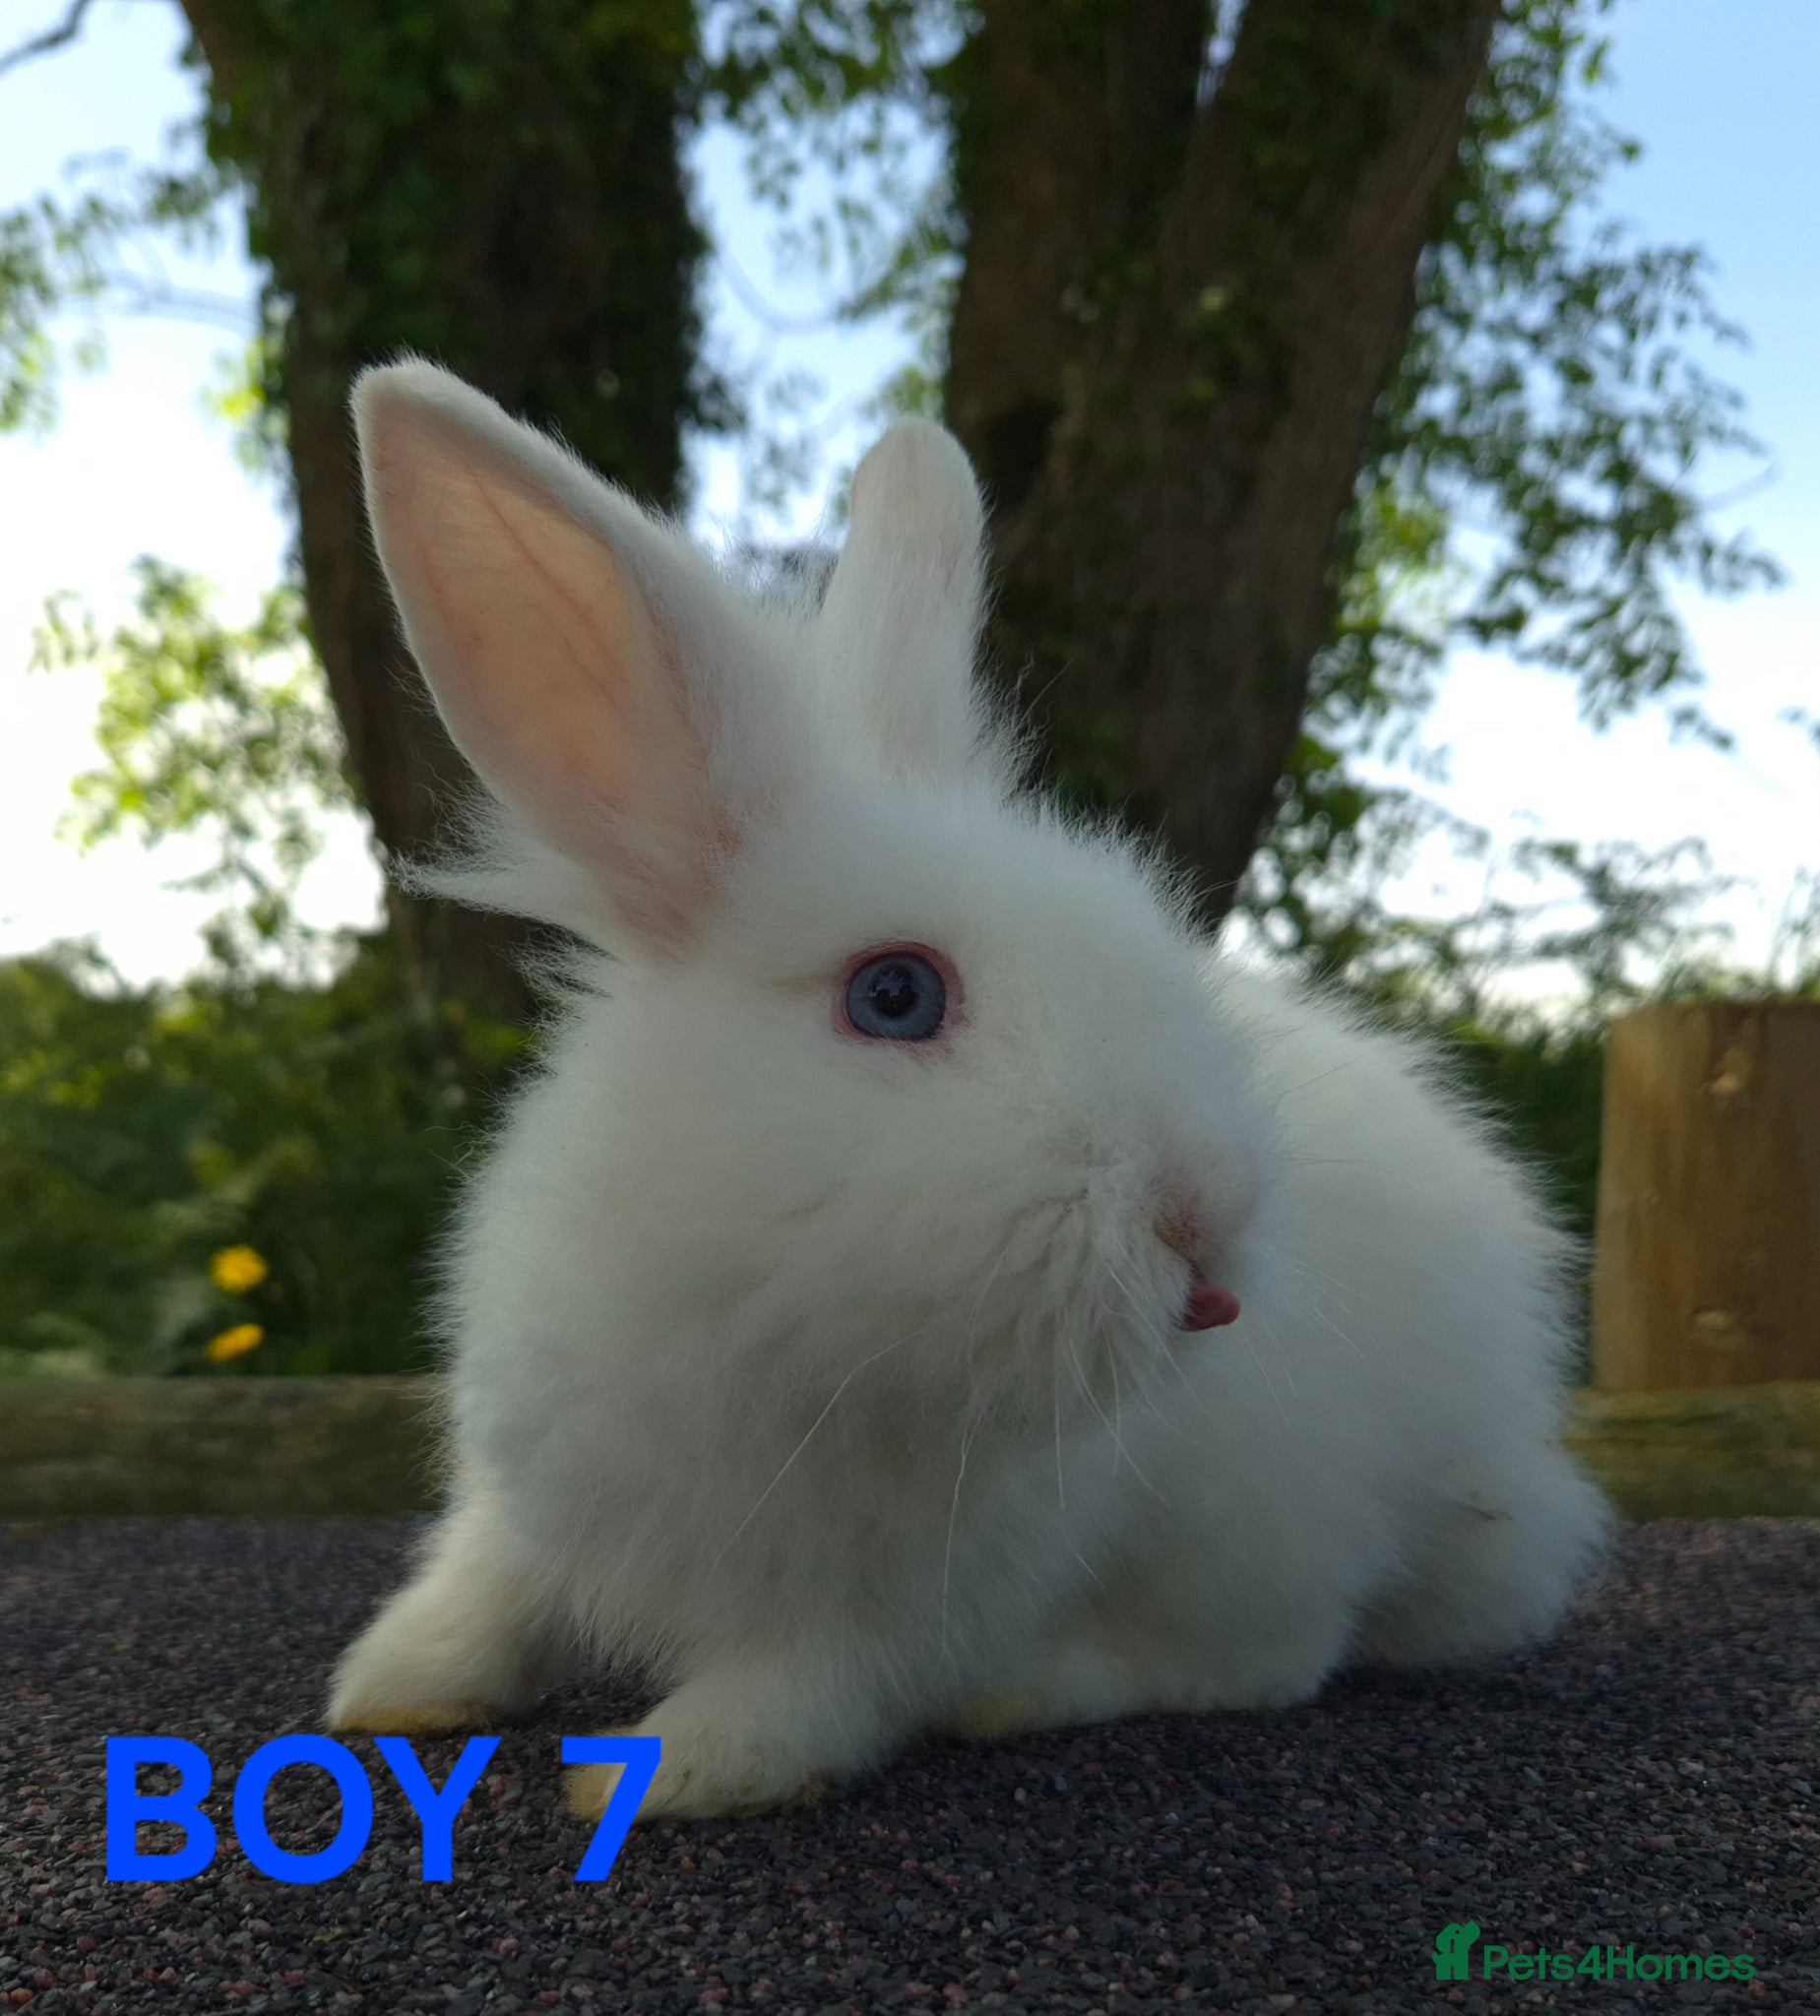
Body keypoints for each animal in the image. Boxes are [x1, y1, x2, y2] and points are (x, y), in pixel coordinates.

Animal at [326, 359, 1612, 1824]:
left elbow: (809, 1694)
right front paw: (390, 1689)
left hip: (1268, 1524)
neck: (763, 1310)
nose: (1203, 1221)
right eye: (894, 995)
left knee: (1262, 1659)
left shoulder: (921, 1598)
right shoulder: (528, 1489)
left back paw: (1039, 1689)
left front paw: (653, 1776)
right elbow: (481, 1593)